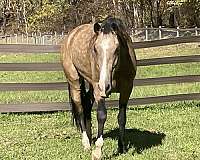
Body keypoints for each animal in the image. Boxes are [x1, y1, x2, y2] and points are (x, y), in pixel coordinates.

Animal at [60, 16, 136, 159]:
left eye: (117, 49)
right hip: (75, 82)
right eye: (95, 49)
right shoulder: (99, 91)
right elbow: (101, 115)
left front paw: (121, 147)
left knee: (87, 105)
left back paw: (90, 138)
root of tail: (71, 35)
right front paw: (98, 151)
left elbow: (122, 118)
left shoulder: (127, 90)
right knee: (80, 109)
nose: (105, 85)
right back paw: (86, 143)